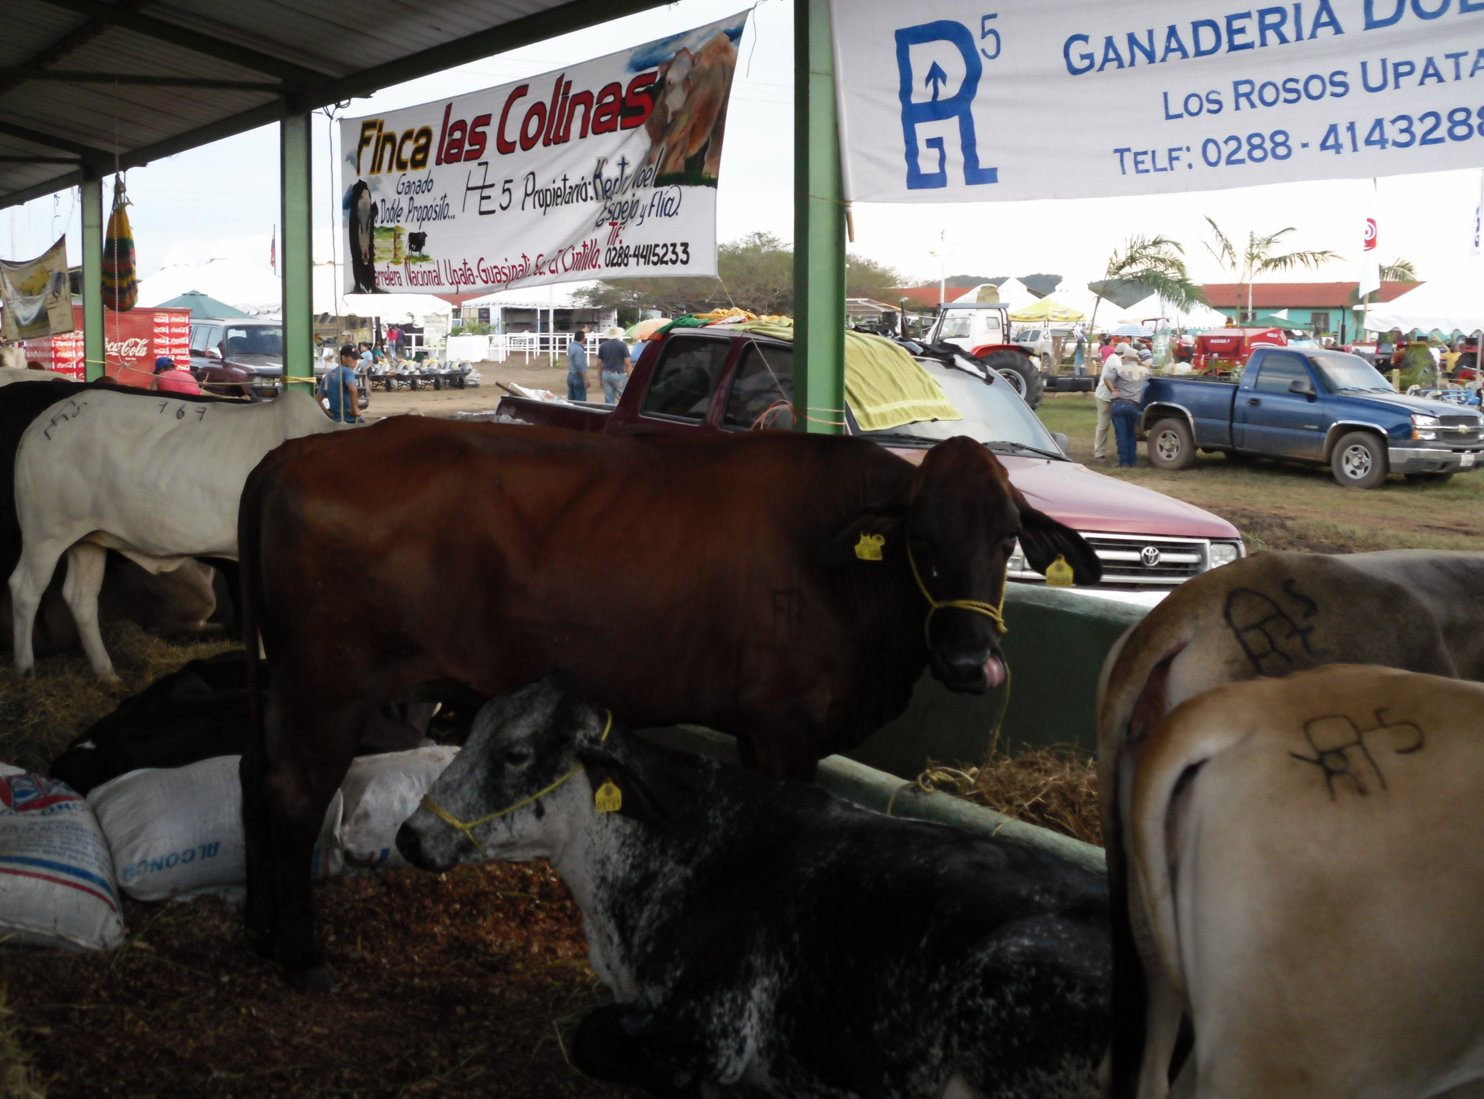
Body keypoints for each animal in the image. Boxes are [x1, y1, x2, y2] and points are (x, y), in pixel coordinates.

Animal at [8, 385, 344, 676]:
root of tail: (38, 427)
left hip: (88, 539)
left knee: (82, 597)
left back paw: (107, 674)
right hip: (46, 532)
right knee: (25, 589)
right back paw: (25, 670)